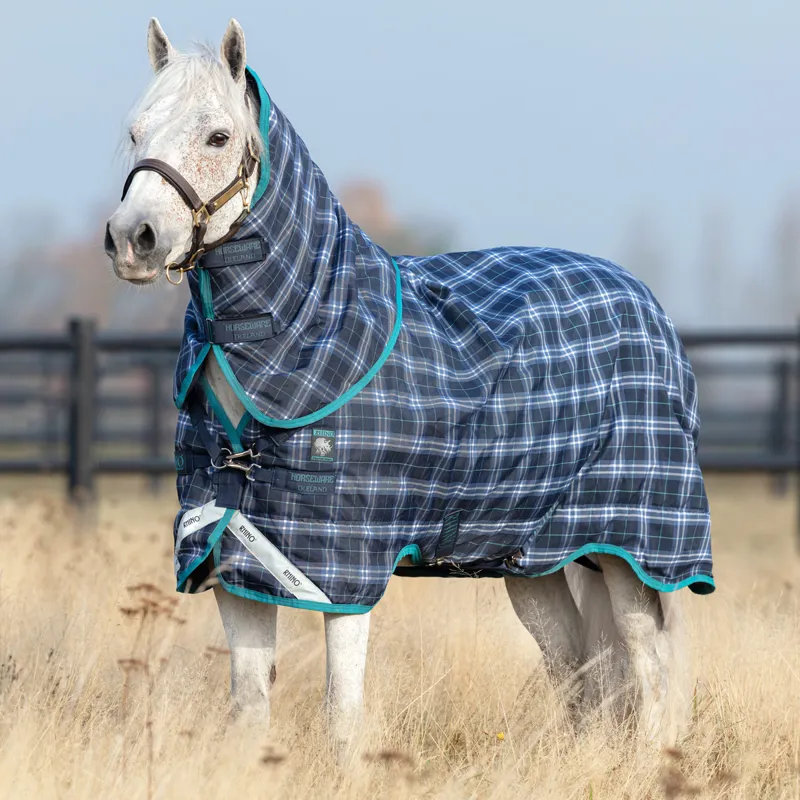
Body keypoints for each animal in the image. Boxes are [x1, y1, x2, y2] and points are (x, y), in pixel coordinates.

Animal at [105, 18, 713, 758]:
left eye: (218, 136)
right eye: (135, 132)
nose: (133, 238)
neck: (313, 326)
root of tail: (643, 301)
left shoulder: (341, 571)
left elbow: (341, 712)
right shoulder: (231, 551)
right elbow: (249, 705)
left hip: (631, 553)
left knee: (647, 665)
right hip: (534, 559)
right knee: (579, 670)